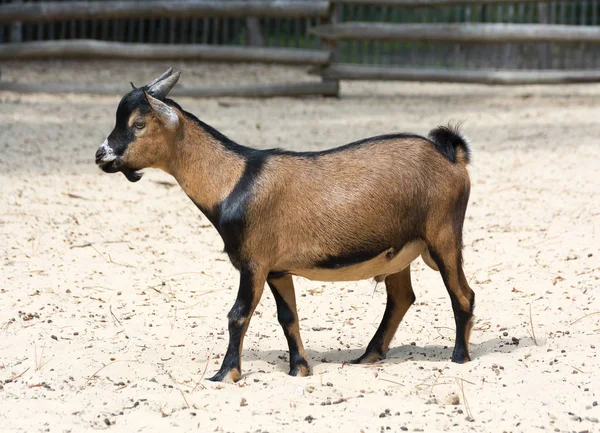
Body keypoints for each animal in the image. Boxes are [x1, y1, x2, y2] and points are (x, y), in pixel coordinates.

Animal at [95, 67, 478, 382]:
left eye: (138, 124)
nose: (101, 155)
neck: (233, 179)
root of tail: (452, 156)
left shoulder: (254, 262)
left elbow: (237, 314)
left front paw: (224, 374)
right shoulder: (277, 268)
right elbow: (287, 317)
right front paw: (300, 369)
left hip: (443, 235)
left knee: (462, 293)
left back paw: (459, 357)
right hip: (399, 250)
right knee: (401, 298)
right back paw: (367, 356)